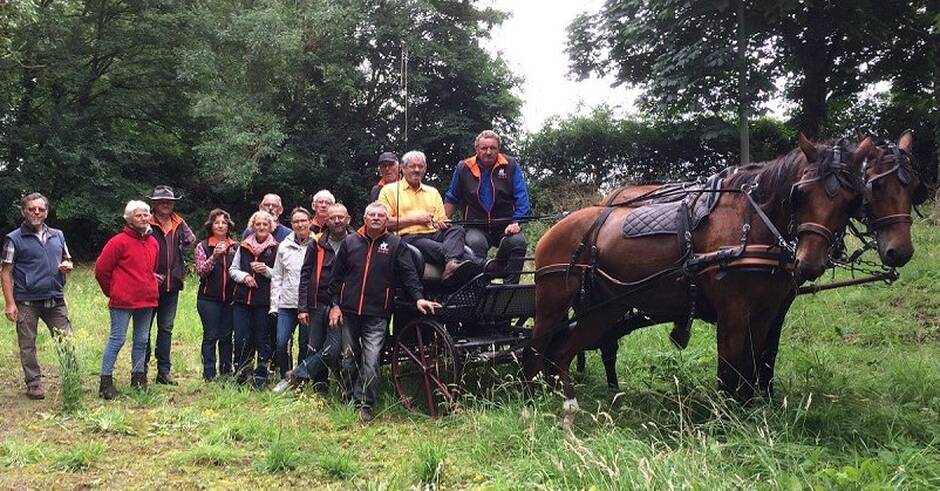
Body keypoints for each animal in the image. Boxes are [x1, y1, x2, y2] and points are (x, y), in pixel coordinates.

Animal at [528, 135, 872, 412]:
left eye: (853, 198)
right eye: (800, 193)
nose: (810, 262)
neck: (751, 222)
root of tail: (556, 227)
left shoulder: (766, 311)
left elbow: (754, 362)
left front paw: (751, 414)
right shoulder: (732, 310)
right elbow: (730, 367)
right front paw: (726, 418)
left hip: (604, 308)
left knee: (563, 350)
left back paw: (568, 401)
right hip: (553, 302)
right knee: (535, 348)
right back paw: (531, 399)